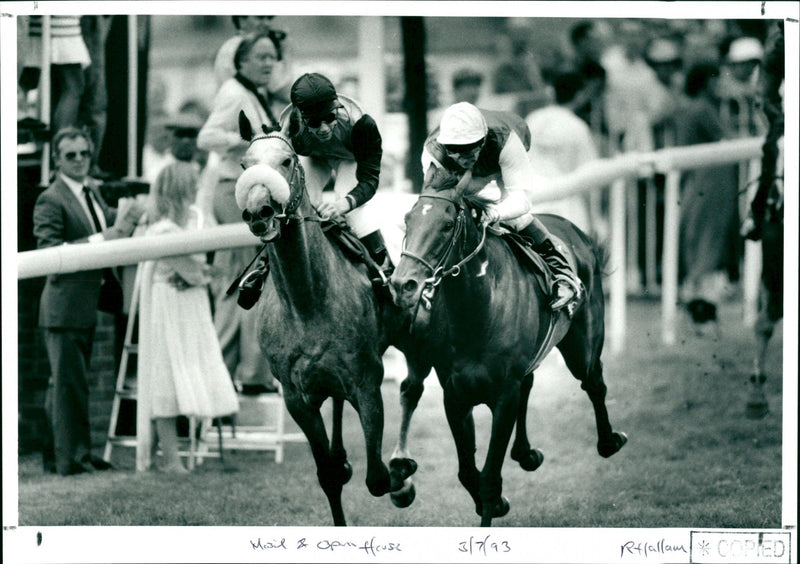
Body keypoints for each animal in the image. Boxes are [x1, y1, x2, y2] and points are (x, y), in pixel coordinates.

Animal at [390, 165, 628, 528]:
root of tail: (578, 233)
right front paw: (495, 502)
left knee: (593, 381)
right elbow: (466, 471)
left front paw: (492, 507)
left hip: (582, 347)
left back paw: (609, 441)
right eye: (408, 219)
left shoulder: (503, 395)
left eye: (446, 225)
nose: (403, 284)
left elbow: (489, 477)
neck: (477, 309)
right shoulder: (455, 395)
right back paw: (526, 453)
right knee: (531, 382)